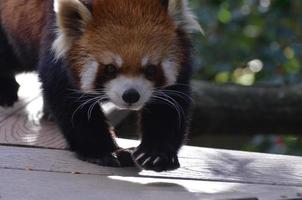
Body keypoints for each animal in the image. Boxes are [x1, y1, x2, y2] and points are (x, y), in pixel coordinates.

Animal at [1, 0, 202, 172]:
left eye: (151, 69)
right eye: (110, 68)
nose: (131, 95)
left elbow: (169, 105)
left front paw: (156, 154)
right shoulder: (55, 40)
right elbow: (70, 101)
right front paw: (105, 151)